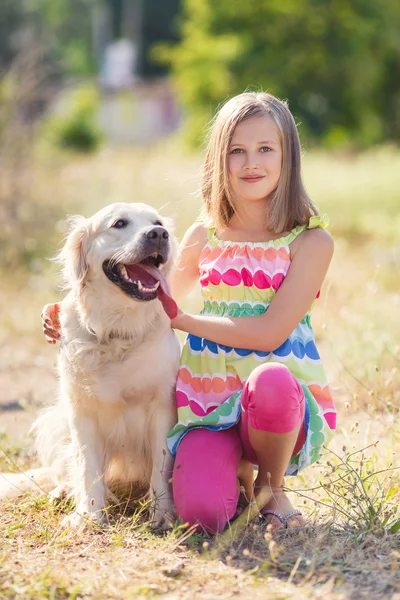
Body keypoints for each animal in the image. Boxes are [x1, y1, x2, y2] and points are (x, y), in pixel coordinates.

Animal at [0, 203, 180, 528]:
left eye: (158, 223)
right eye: (119, 223)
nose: (159, 235)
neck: (118, 330)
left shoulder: (162, 405)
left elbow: (161, 466)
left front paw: (162, 514)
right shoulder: (80, 410)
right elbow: (87, 466)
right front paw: (89, 514)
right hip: (55, 420)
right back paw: (62, 492)